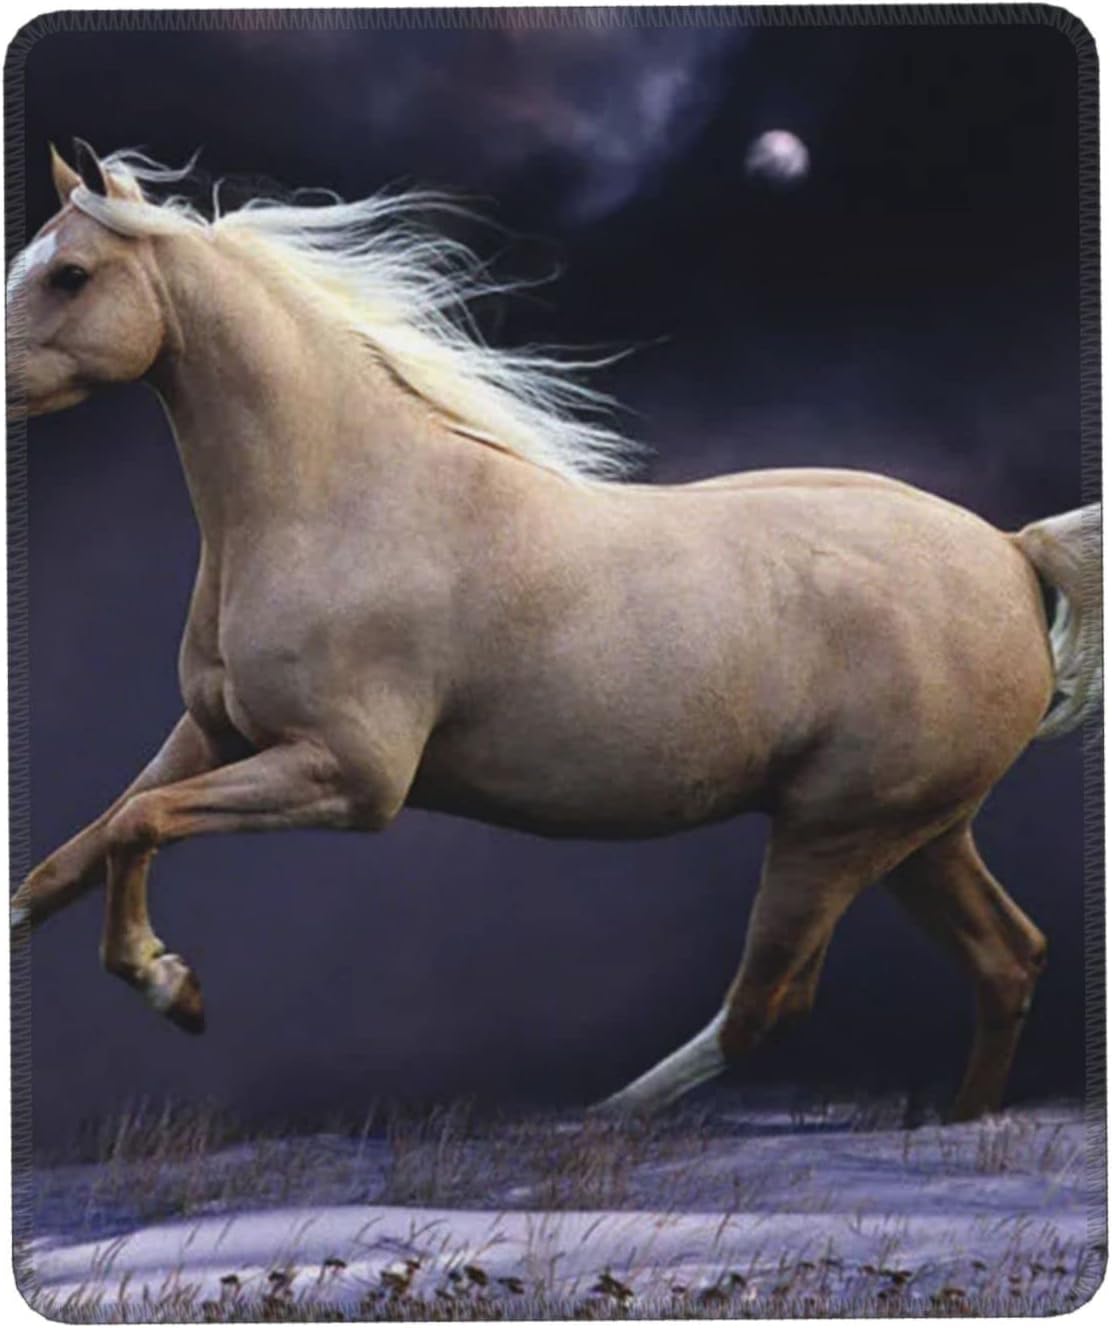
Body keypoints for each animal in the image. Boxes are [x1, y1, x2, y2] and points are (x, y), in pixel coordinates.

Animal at [8, 141, 1101, 1121]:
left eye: (70, 273)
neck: (346, 501)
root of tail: (1012, 551)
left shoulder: (348, 776)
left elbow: (139, 827)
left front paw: (172, 985)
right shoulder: (214, 734)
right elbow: (76, 853)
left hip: (835, 829)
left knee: (767, 1004)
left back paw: (595, 1120)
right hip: (919, 831)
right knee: (1007, 960)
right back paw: (958, 1119)